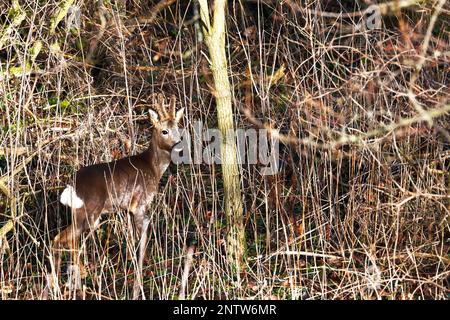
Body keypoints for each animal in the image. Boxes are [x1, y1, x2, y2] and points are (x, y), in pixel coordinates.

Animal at [53, 94, 185, 298]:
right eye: (164, 131)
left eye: (178, 129)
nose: (179, 146)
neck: (154, 168)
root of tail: (71, 186)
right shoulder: (140, 204)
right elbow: (143, 238)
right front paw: (140, 279)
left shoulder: (127, 210)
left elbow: (133, 239)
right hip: (89, 212)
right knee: (61, 240)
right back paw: (72, 278)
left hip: (84, 215)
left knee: (67, 241)